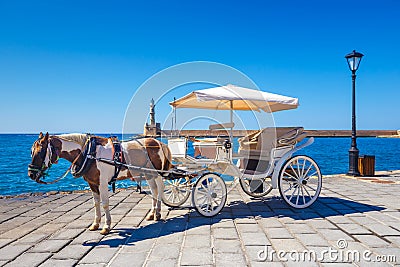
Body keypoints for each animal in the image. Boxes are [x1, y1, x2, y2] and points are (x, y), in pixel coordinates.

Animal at [27, 133, 172, 236]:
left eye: (40, 152)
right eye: (31, 151)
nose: (30, 174)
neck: (89, 153)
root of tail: (158, 142)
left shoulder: (102, 183)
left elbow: (105, 204)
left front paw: (106, 227)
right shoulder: (92, 184)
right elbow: (96, 203)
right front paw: (95, 224)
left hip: (157, 173)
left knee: (160, 189)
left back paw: (158, 213)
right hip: (148, 174)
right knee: (154, 191)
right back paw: (153, 214)